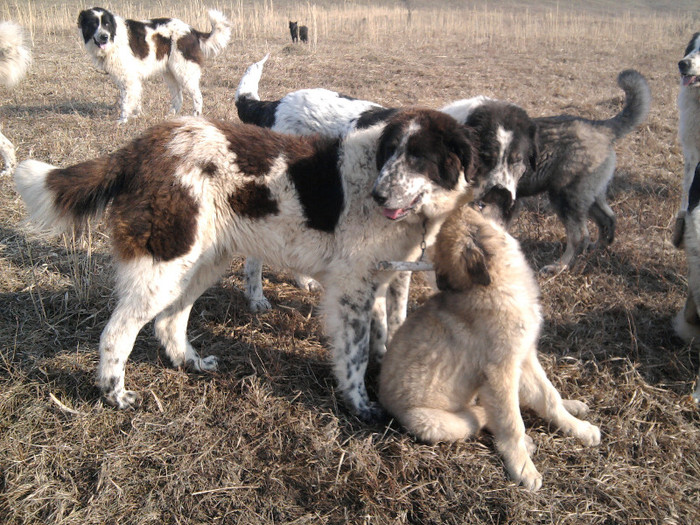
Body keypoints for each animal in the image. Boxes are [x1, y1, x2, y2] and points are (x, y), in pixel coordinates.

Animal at [13, 107, 506, 422]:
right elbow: (356, 353)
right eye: (392, 153)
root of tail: (139, 147)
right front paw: (360, 404)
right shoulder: (352, 290)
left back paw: (191, 363)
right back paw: (114, 395)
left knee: (169, 322)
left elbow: (387, 334)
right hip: (164, 264)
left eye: (419, 157)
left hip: (202, 262)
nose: (380, 195)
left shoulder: (383, 281)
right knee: (117, 333)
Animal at [77, 6, 230, 123]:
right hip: (170, 73)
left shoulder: (128, 78)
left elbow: (125, 101)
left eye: (106, 24)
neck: (114, 38)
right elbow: (135, 98)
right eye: (93, 24)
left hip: (183, 71)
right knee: (178, 97)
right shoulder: (131, 79)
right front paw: (137, 115)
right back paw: (171, 115)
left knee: (197, 96)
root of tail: (191, 31)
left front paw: (122, 120)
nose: (104, 37)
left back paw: (195, 117)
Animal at [378, 199, 600, 490]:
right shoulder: (500, 371)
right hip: (429, 421)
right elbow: (512, 422)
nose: (509, 200)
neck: (488, 286)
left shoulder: (524, 357)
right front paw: (523, 468)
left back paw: (571, 405)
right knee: (481, 414)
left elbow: (549, 396)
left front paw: (579, 429)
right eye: (481, 206)